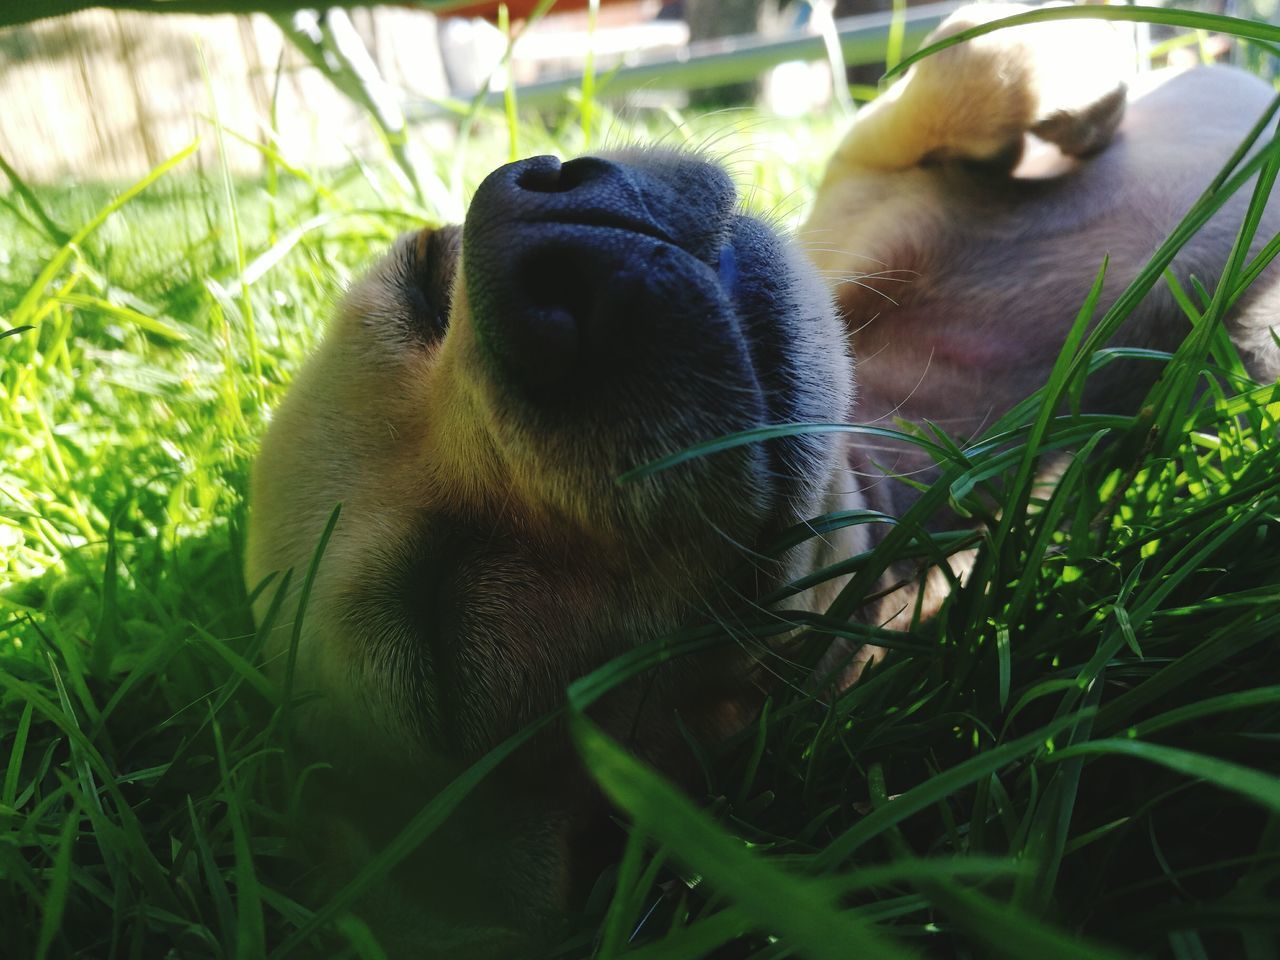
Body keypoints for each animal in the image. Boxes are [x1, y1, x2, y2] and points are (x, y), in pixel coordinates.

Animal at [247, 5, 1280, 957]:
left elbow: (963, 66)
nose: (539, 243)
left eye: (430, 279)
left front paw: (1087, 75)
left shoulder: (863, 173)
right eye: (449, 630)